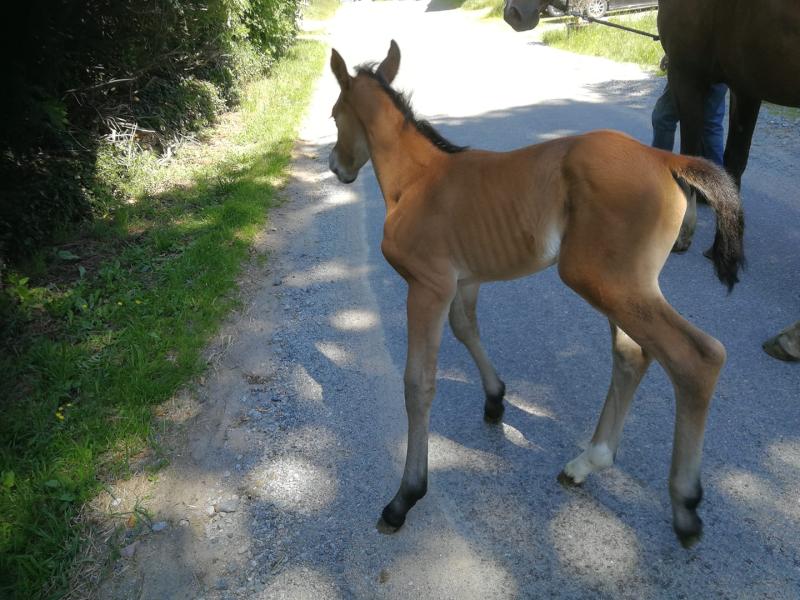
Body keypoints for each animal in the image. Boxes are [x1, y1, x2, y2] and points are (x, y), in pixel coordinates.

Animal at [328, 40, 744, 546]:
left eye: (334, 115)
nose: (336, 167)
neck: (418, 181)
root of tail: (664, 159)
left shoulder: (427, 286)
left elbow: (417, 384)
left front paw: (404, 497)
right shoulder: (464, 281)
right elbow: (466, 329)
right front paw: (495, 399)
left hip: (599, 279)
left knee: (697, 358)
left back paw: (685, 504)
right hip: (625, 285)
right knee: (632, 355)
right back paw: (587, 462)